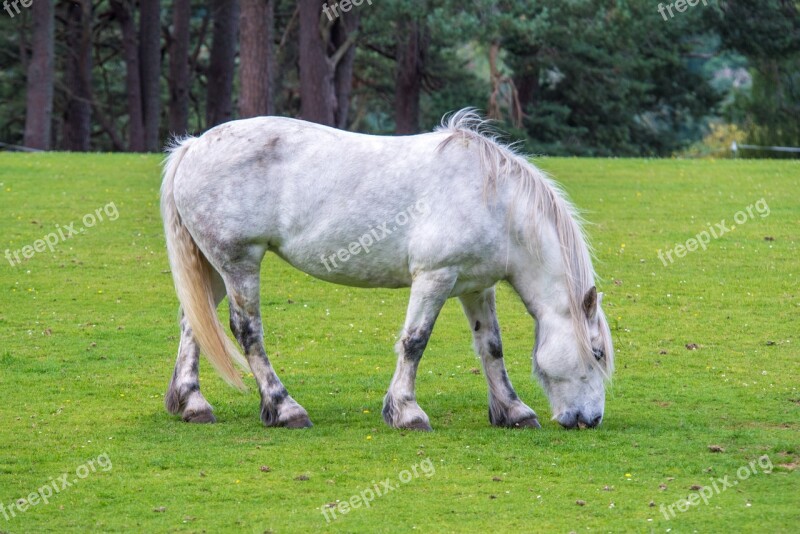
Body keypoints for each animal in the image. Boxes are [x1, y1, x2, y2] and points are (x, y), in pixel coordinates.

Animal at [161, 111, 612, 434]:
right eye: (597, 353)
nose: (591, 420)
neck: (494, 200)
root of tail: (193, 146)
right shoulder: (435, 277)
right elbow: (415, 342)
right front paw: (407, 412)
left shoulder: (475, 287)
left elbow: (491, 347)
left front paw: (514, 411)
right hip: (238, 262)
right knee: (246, 331)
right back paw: (284, 408)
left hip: (212, 268)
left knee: (193, 322)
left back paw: (193, 404)